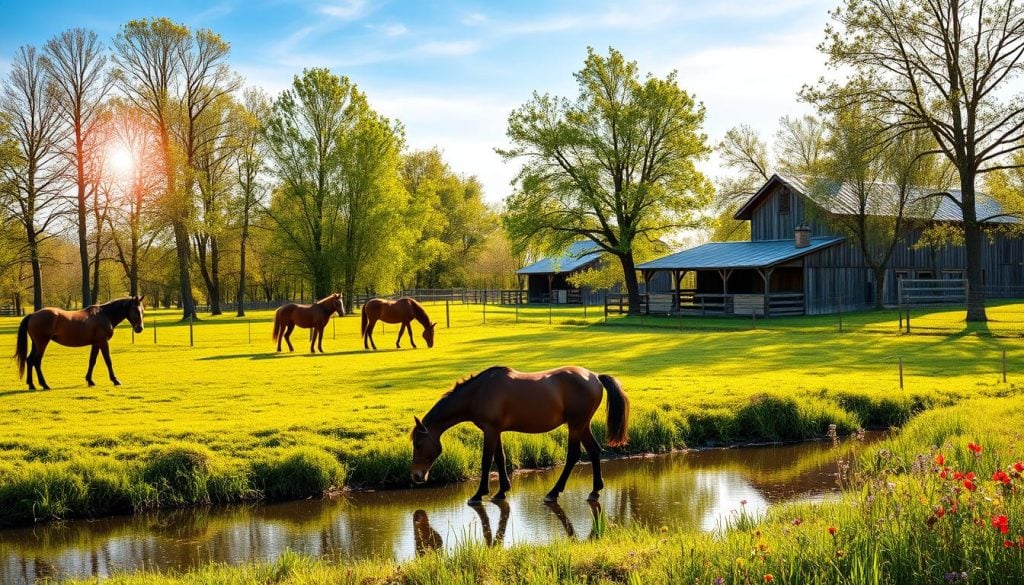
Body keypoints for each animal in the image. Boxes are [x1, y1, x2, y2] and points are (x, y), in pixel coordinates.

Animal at [13, 295, 146, 391]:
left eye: (143, 310)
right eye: (135, 310)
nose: (140, 328)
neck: (105, 314)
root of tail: (32, 315)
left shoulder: (96, 343)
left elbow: (92, 361)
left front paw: (90, 380)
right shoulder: (103, 342)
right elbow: (108, 361)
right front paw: (115, 380)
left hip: (36, 344)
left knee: (29, 360)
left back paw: (31, 385)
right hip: (42, 343)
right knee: (36, 361)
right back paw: (44, 385)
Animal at [411, 366, 626, 504]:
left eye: (418, 444)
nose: (416, 476)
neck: (479, 392)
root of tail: (595, 377)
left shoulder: (490, 430)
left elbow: (486, 461)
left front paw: (479, 494)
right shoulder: (495, 430)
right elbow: (500, 458)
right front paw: (501, 491)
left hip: (575, 425)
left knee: (573, 455)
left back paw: (553, 493)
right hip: (582, 425)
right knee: (594, 451)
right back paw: (595, 490)